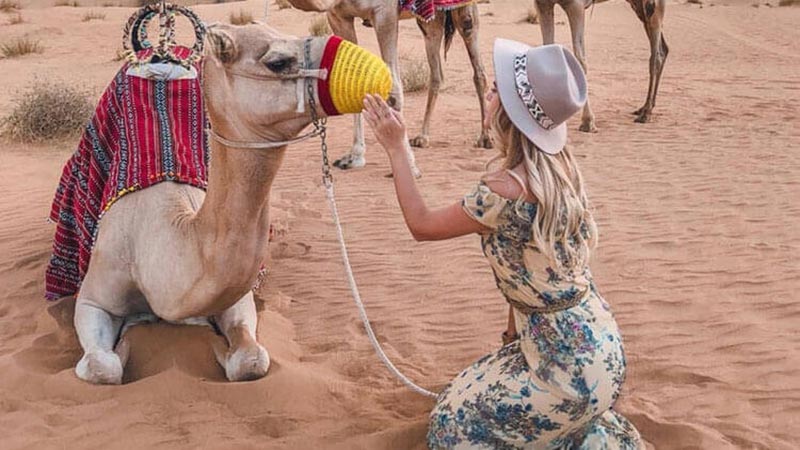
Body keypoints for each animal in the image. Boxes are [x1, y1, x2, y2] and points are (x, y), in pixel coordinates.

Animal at [73, 24, 334, 384]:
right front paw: (127, 336)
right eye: (278, 62)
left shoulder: (236, 299)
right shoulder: (93, 297)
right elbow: (103, 367)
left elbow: (251, 360)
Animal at [285, 0, 491, 173]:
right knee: (436, 74)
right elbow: (350, 80)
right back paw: (422, 137)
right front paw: (355, 157)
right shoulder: (338, 15)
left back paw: (485, 138)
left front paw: (409, 166)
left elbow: (394, 90)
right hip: (431, 21)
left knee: (478, 71)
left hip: (464, 14)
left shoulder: (385, 13)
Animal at [533, 0, 667, 129]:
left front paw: (588, 122)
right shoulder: (542, 4)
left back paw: (646, 114)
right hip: (639, 7)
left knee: (656, 57)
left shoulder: (576, 5)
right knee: (663, 50)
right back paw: (644, 108)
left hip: (652, 6)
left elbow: (580, 60)